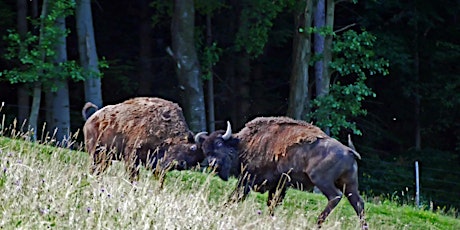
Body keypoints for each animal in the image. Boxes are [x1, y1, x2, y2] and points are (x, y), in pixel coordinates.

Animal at [196, 117, 368, 229]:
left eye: (219, 143)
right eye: (205, 149)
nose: (212, 163)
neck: (243, 144)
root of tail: (349, 151)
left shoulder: (248, 181)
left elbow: (235, 197)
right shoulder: (279, 185)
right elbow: (272, 204)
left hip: (322, 181)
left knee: (335, 197)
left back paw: (317, 223)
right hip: (350, 184)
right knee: (358, 203)